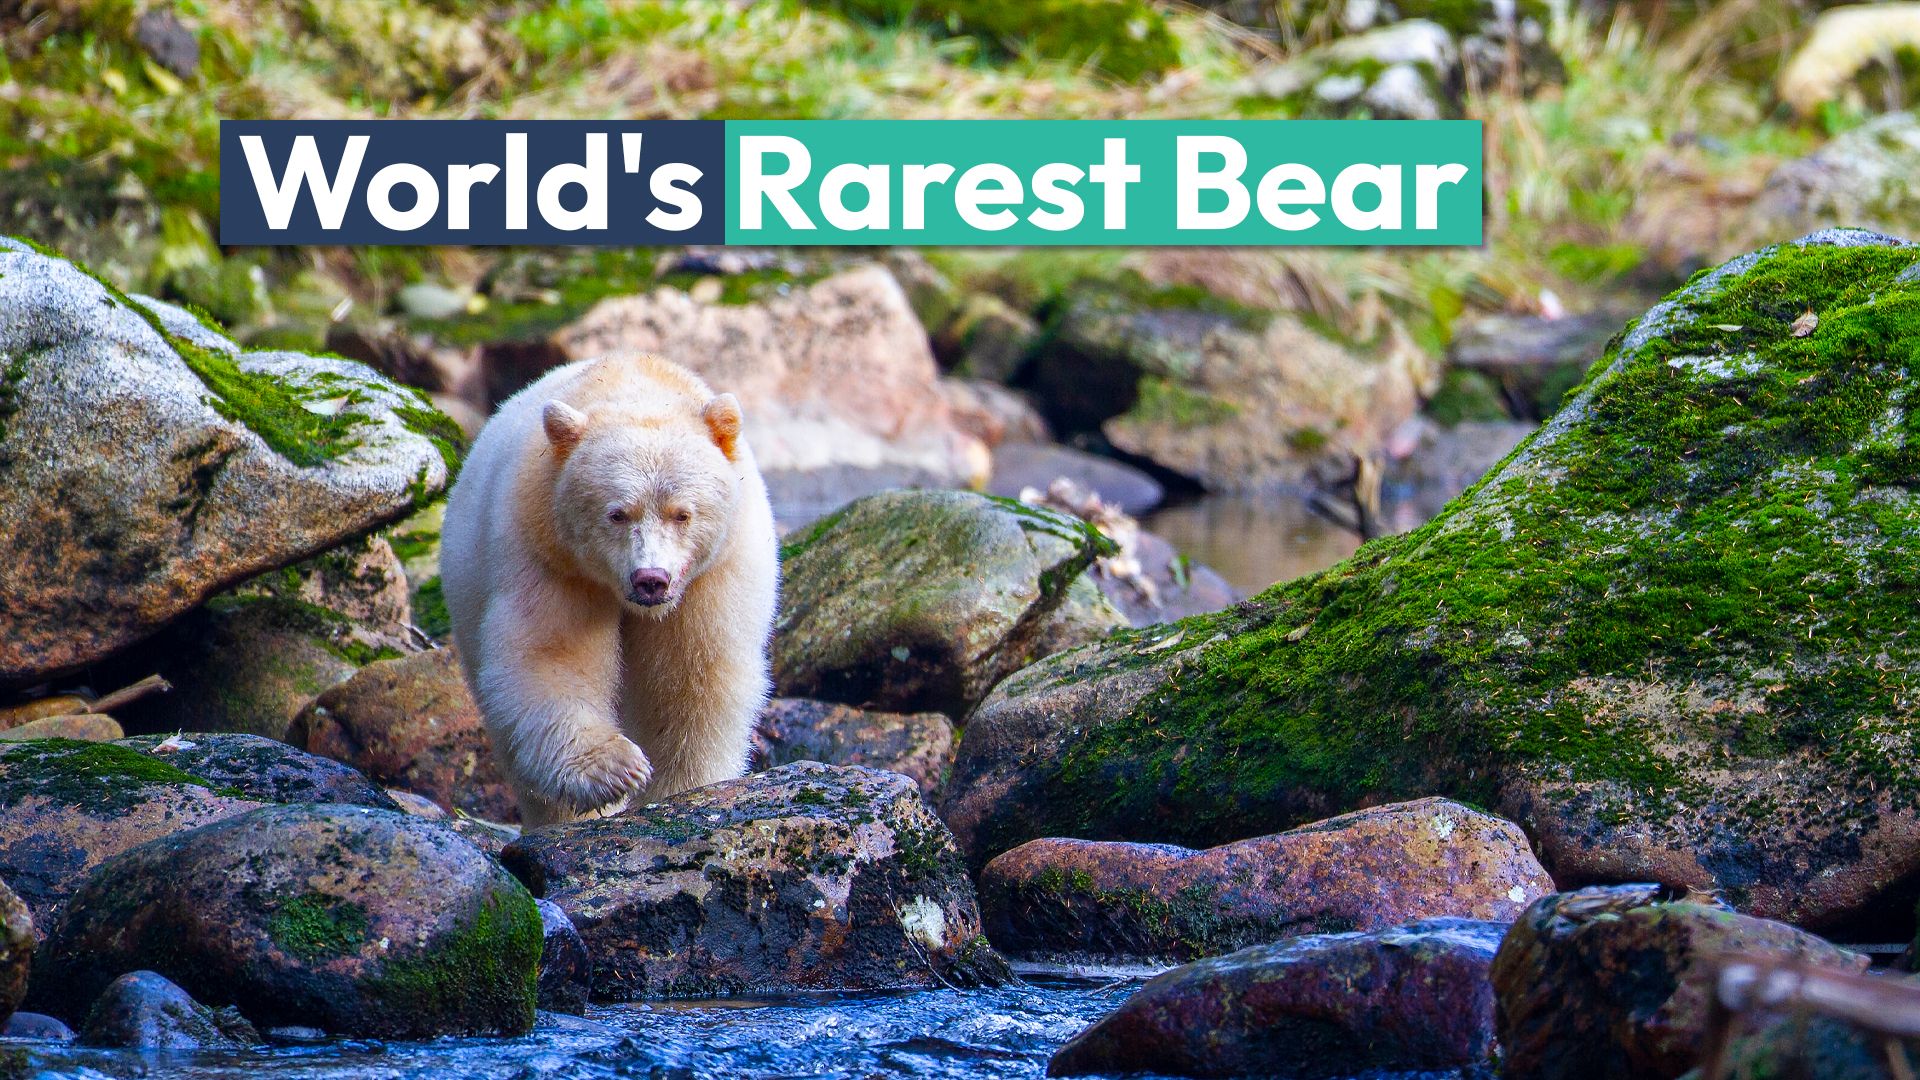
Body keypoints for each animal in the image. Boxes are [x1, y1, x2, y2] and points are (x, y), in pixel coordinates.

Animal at [440, 353, 779, 827]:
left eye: (682, 514)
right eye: (617, 513)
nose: (651, 578)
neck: (634, 383)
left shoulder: (713, 575)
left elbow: (695, 680)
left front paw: (682, 790)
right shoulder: (551, 556)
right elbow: (551, 657)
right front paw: (615, 769)